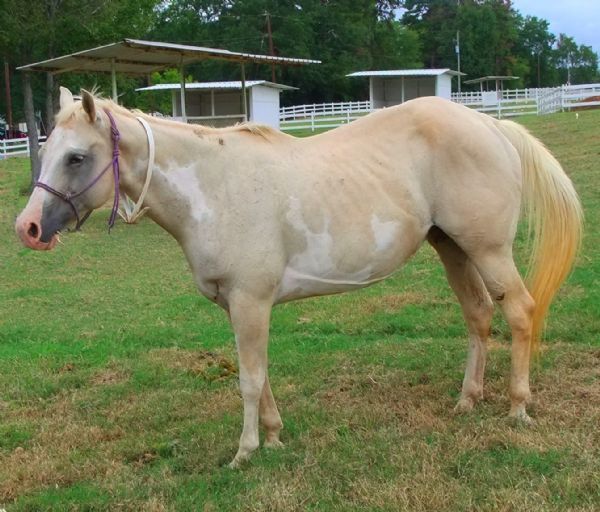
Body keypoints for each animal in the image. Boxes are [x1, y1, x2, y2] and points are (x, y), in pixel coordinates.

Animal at [15, 88, 580, 468]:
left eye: (76, 157)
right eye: (48, 149)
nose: (29, 228)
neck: (214, 188)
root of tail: (492, 126)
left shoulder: (250, 302)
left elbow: (247, 379)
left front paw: (245, 453)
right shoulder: (241, 306)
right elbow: (260, 374)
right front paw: (274, 437)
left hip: (488, 250)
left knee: (519, 312)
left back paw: (518, 408)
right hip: (453, 248)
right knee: (479, 316)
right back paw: (467, 401)